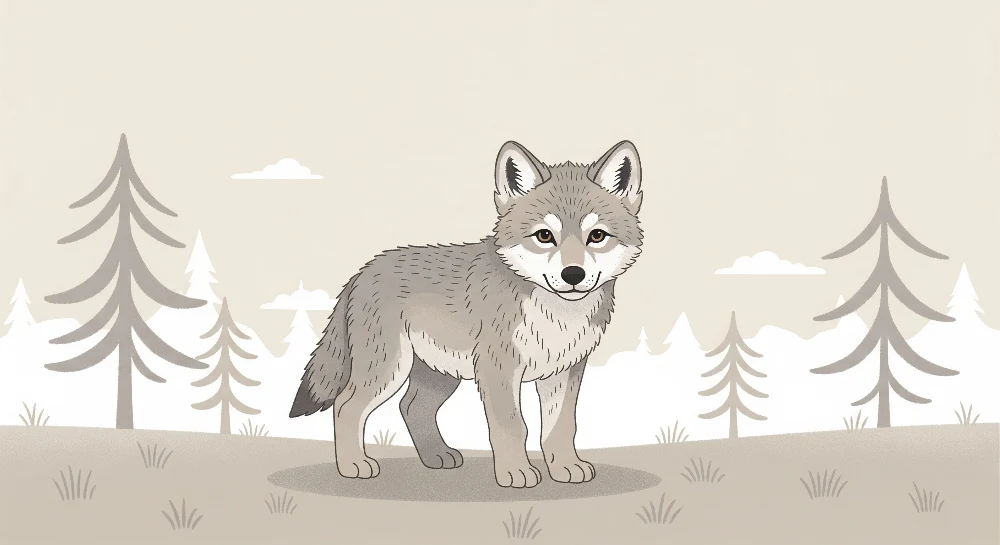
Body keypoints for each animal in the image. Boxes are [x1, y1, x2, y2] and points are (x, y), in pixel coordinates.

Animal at [288, 140, 644, 488]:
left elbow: (560, 428)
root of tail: (362, 271)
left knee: (411, 407)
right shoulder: (498, 369)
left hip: (439, 374)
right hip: (389, 370)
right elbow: (513, 426)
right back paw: (353, 465)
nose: (573, 275)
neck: (557, 316)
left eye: (596, 236)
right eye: (544, 236)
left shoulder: (565, 370)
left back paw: (436, 456)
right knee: (346, 406)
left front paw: (566, 468)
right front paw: (515, 472)